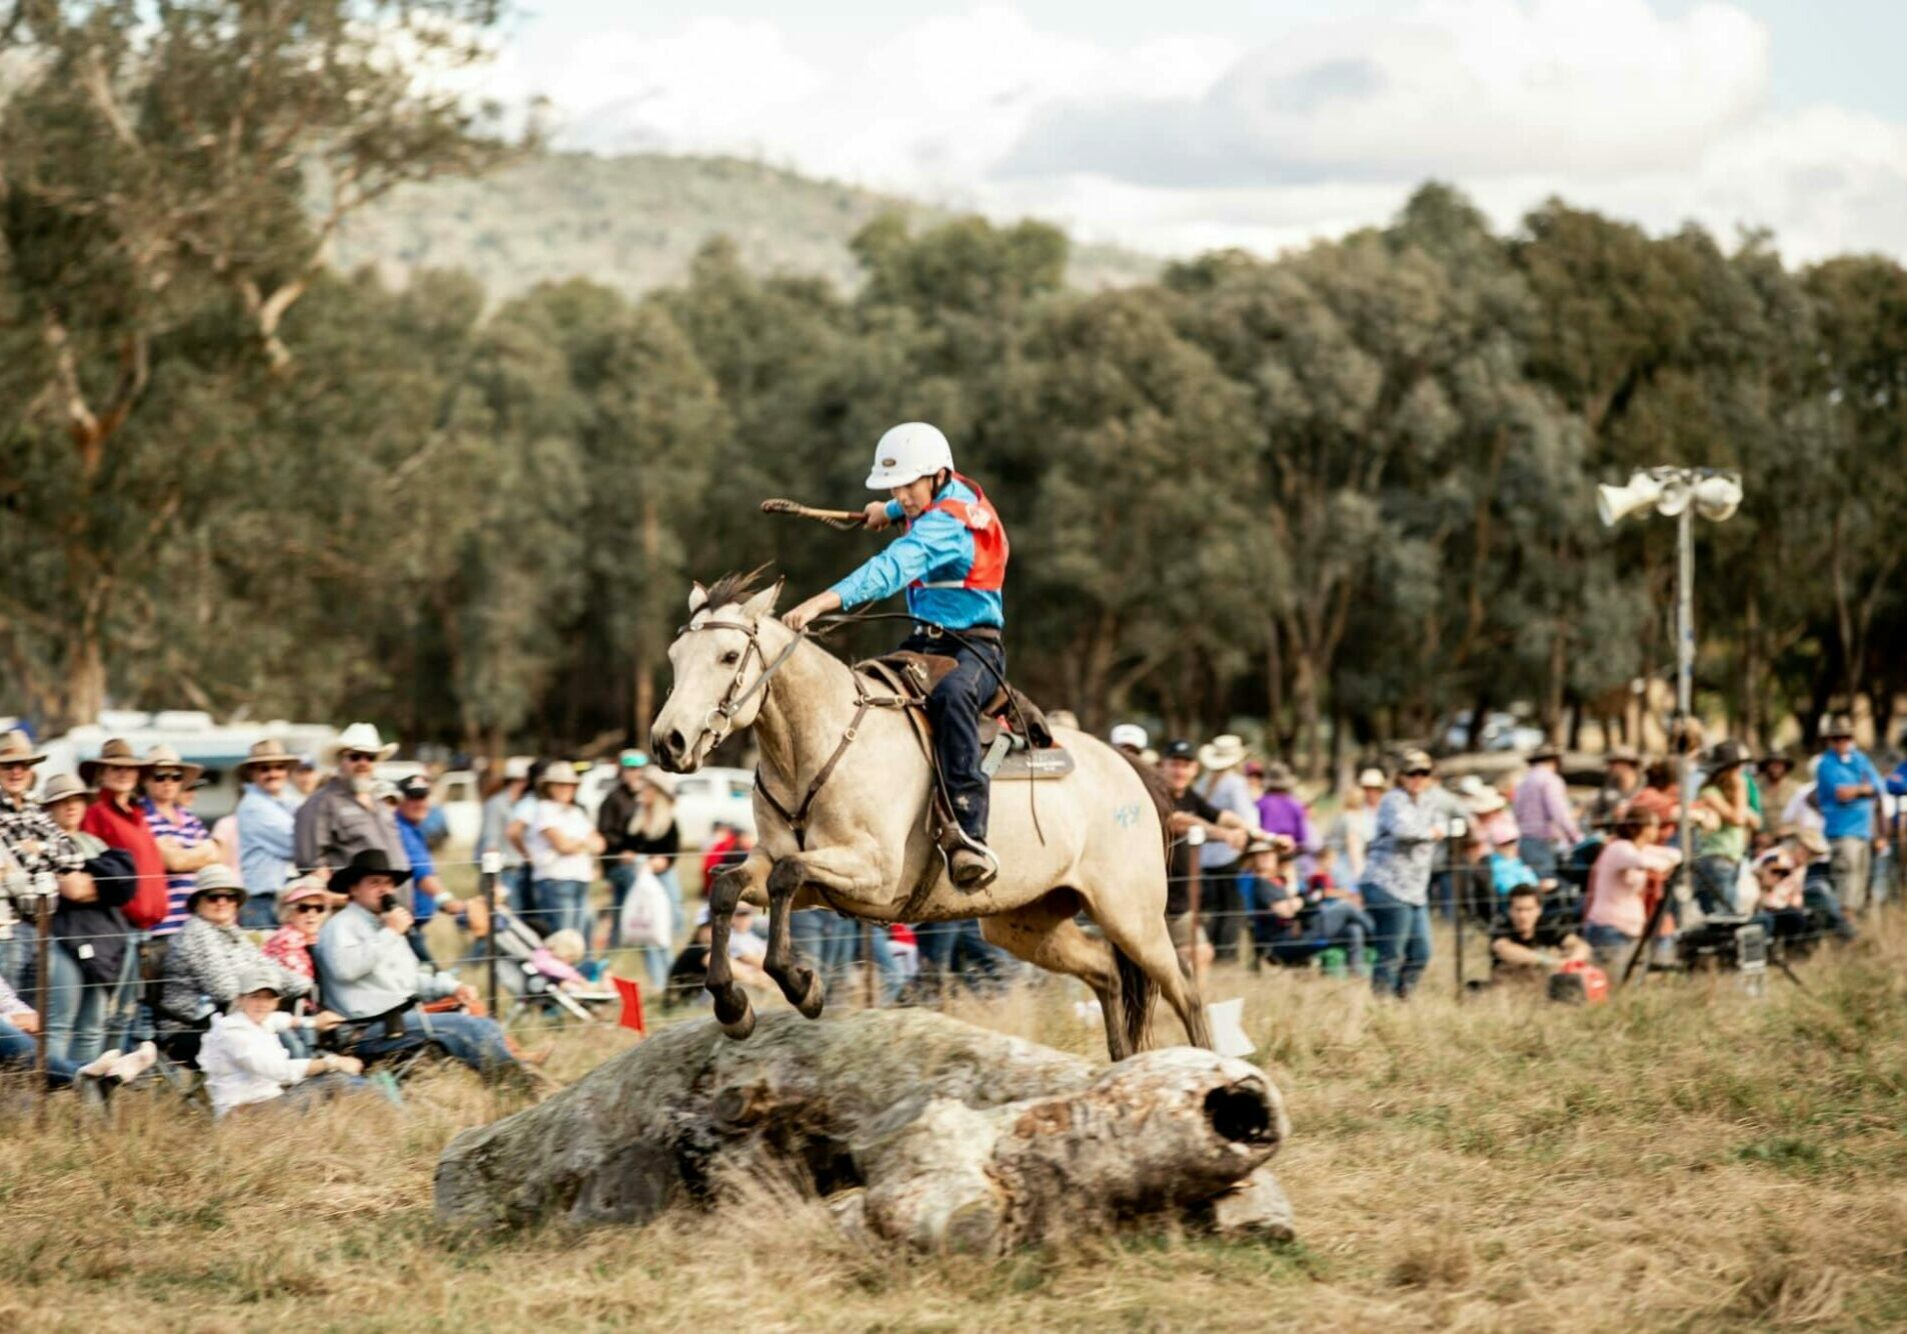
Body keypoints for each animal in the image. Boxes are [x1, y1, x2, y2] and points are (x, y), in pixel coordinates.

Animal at [644, 567, 1205, 1059]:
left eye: (728, 655)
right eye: (673, 655)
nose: (668, 742)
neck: (818, 745)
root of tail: (1130, 768)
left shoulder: (873, 873)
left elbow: (787, 875)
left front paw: (802, 985)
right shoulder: (785, 868)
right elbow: (727, 887)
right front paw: (732, 1005)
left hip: (1132, 914)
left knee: (1185, 990)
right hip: (1025, 921)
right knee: (1106, 971)